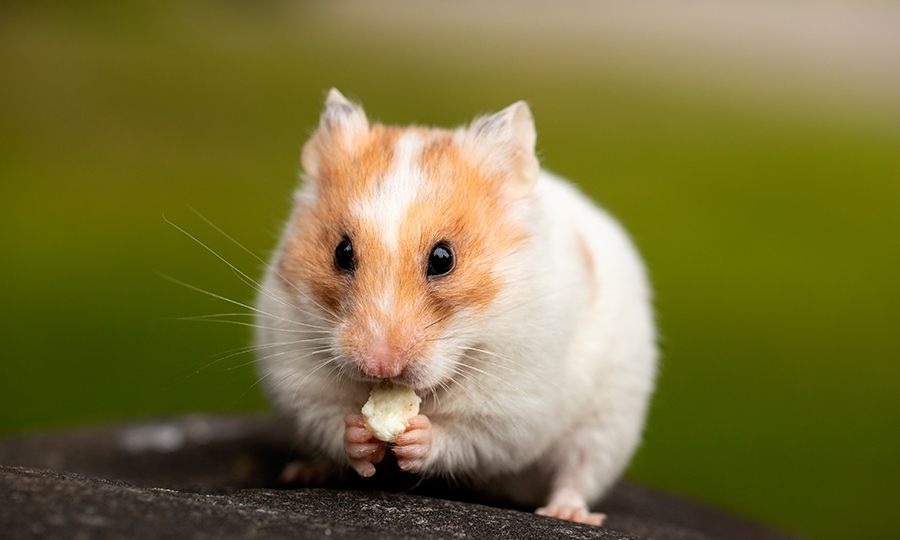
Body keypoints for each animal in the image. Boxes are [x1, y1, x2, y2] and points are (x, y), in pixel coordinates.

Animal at [254, 89, 657, 526]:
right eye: (341, 252)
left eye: (443, 258)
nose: (381, 367)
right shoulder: (298, 375)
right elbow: (329, 420)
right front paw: (360, 436)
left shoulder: (512, 407)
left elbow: (464, 437)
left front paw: (416, 437)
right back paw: (306, 473)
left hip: (609, 421)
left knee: (579, 471)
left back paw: (568, 513)